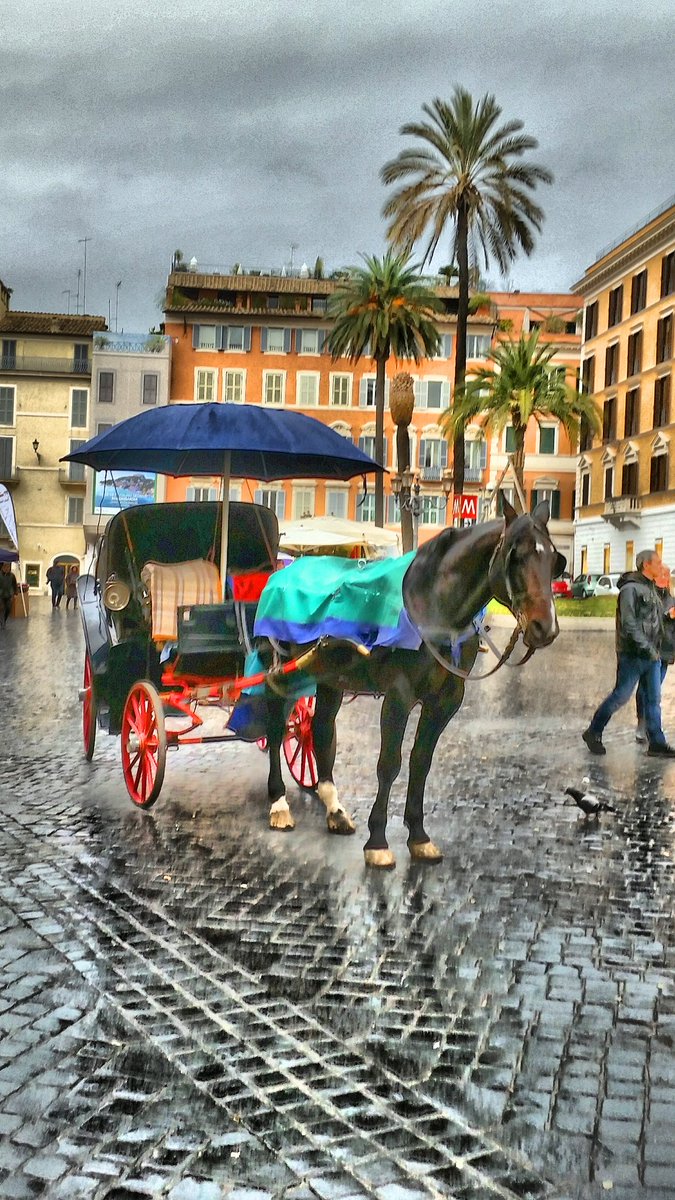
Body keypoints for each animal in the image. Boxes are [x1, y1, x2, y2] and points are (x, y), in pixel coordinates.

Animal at [257, 499, 562, 873]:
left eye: (554, 560)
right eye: (515, 555)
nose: (545, 627)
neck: (435, 607)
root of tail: (282, 571)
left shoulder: (446, 701)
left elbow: (421, 762)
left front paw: (418, 835)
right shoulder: (399, 696)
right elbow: (390, 764)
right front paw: (377, 841)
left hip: (328, 676)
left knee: (321, 728)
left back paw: (334, 808)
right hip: (281, 667)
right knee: (275, 725)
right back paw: (279, 802)